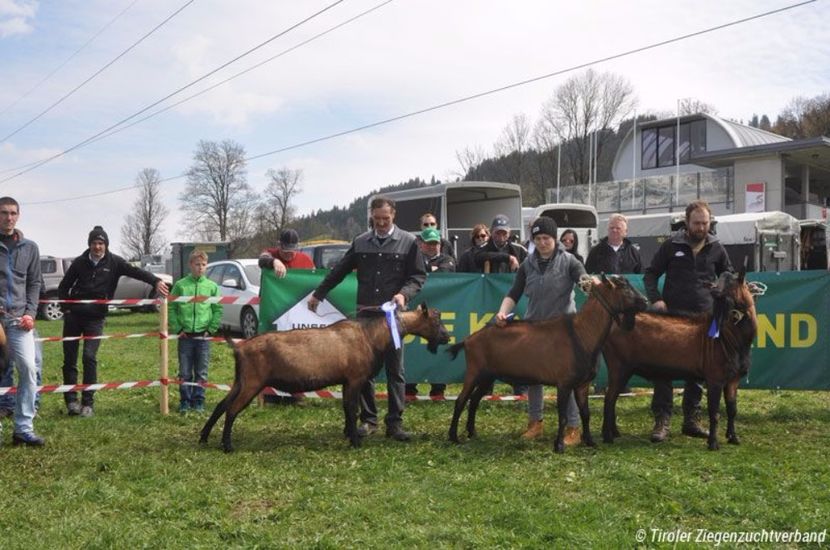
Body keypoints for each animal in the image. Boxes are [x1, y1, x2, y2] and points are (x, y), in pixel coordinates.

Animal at [200, 302, 448, 452]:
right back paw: (227, 445)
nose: (447, 337)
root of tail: (239, 347)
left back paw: (204, 437)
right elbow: (352, 409)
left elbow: (347, 409)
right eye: (436, 320)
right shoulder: (356, 378)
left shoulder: (347, 381)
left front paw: (349, 434)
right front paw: (355, 441)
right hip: (252, 382)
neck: (371, 336)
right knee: (232, 410)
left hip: (240, 380)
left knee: (221, 405)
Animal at [448, 278, 648, 454]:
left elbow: (585, 413)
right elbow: (563, 416)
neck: (582, 334)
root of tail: (468, 340)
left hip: (488, 376)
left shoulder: (582, 384)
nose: (645, 301)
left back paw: (472, 433)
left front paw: (590, 441)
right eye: (623, 287)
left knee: (474, 400)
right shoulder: (564, 383)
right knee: (461, 400)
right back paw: (453, 437)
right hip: (474, 371)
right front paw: (559, 446)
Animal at [604, 270, 760, 450]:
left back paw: (615, 432)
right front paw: (713, 443)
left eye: (731, 282)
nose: (712, 288)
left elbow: (732, 410)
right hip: (618, 366)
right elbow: (714, 413)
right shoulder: (715, 378)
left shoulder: (733, 379)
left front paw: (733, 438)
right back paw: (608, 436)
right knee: (609, 399)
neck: (729, 338)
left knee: (613, 399)